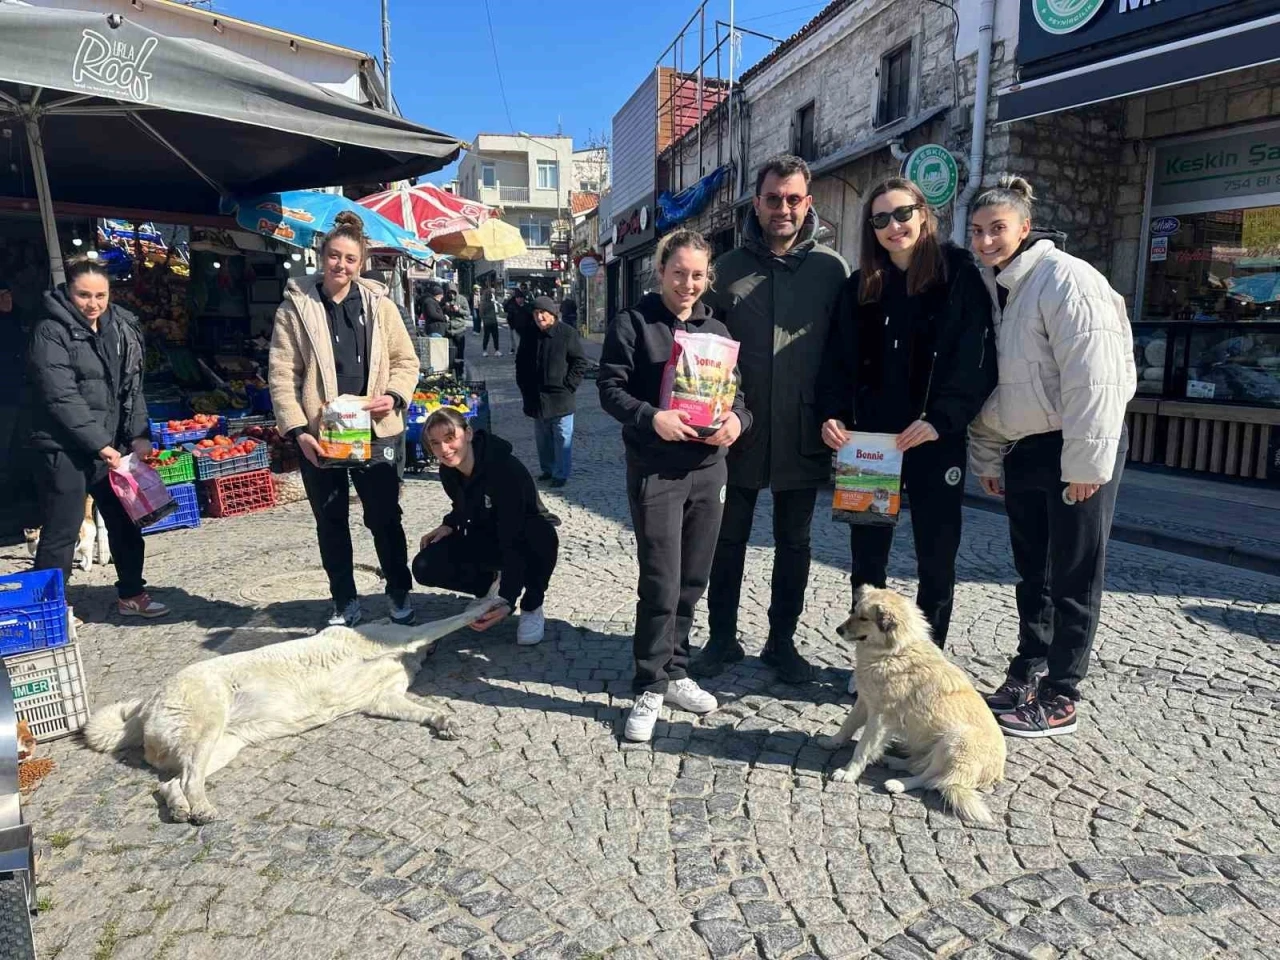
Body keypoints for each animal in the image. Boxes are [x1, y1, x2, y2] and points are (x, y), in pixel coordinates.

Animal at [85, 599, 499, 824]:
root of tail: (144, 707)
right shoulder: (406, 638)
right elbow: (446, 623)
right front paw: (488, 600)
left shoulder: (384, 701)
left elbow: (423, 709)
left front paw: (444, 720)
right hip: (208, 727)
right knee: (186, 781)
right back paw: (201, 809)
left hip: (222, 746)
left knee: (172, 783)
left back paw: (183, 810)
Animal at [814, 586, 1003, 829]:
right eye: (853, 611)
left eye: (864, 618)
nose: (838, 630)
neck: (894, 652)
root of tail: (996, 773)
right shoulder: (865, 701)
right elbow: (847, 726)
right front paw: (832, 742)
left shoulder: (880, 718)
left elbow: (862, 749)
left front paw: (848, 773)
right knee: (918, 766)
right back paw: (894, 762)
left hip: (954, 743)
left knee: (930, 779)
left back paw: (898, 783)